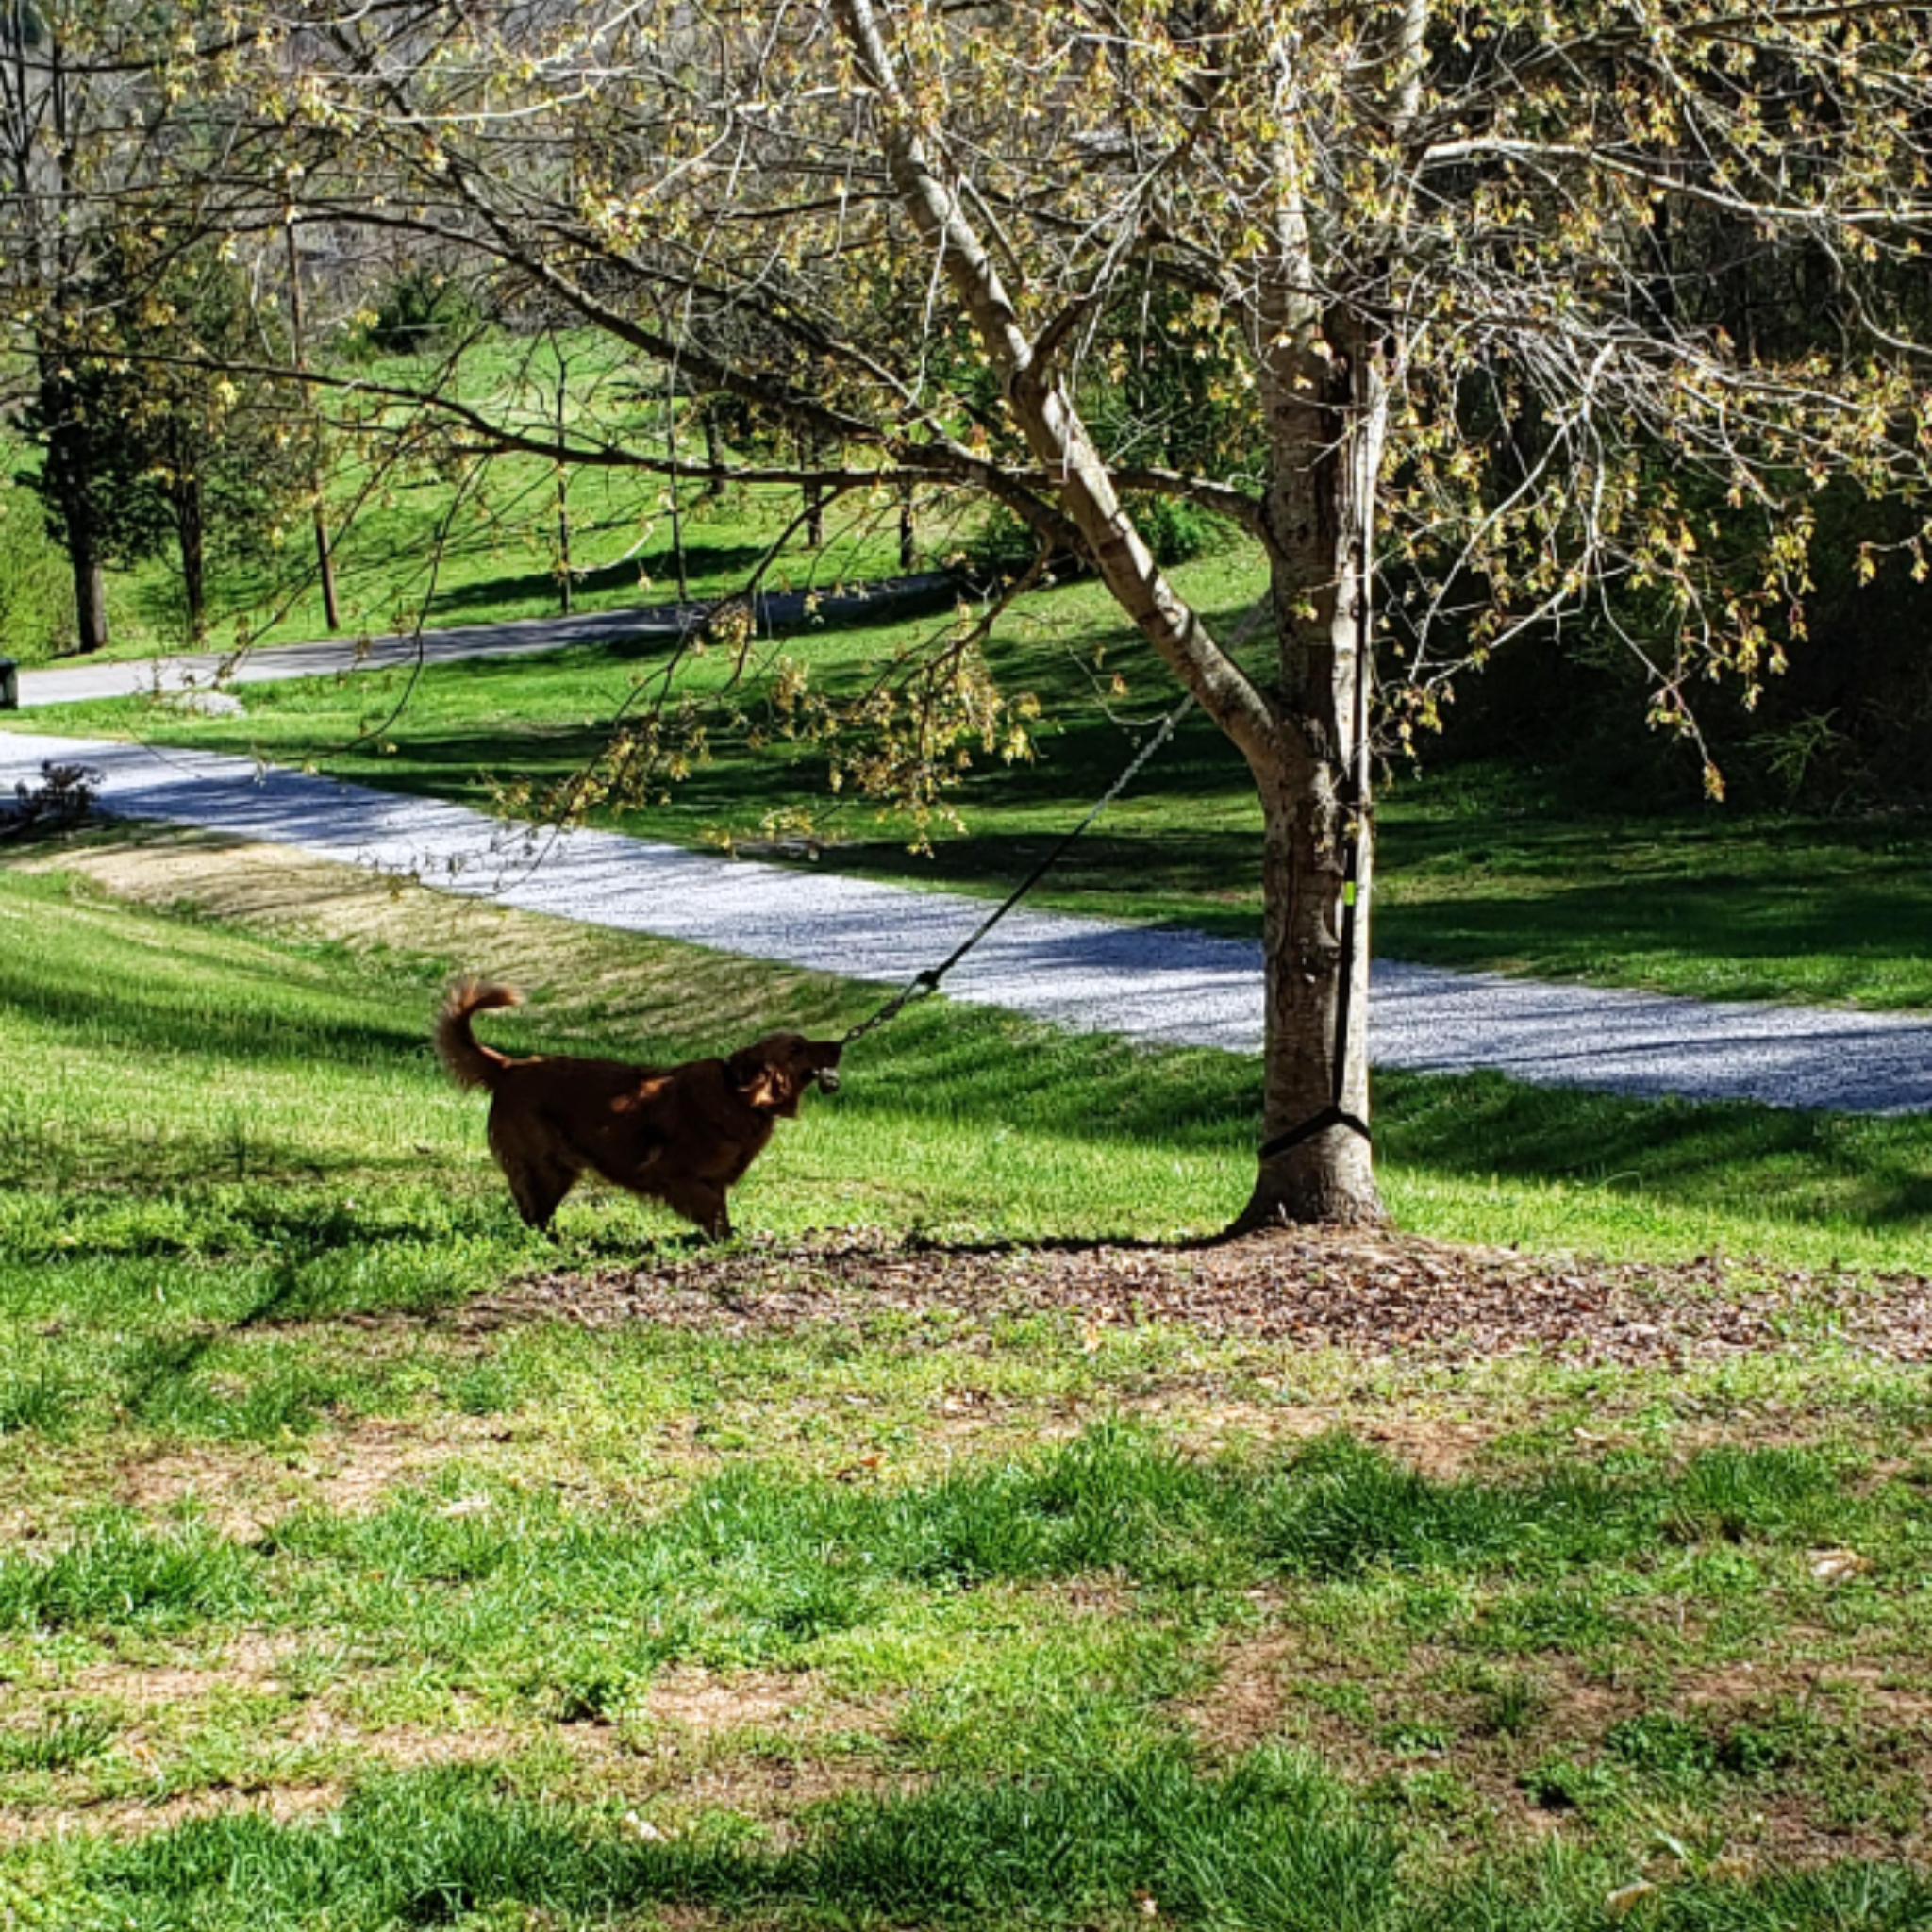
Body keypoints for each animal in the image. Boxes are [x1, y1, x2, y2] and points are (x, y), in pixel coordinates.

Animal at [440, 981, 846, 1236]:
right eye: (797, 1048)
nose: (839, 1045)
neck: (735, 1091)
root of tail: (510, 1066)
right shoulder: (674, 1174)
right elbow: (712, 1212)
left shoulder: (711, 1181)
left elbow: (720, 1211)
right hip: (546, 1165)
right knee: (533, 1212)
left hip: (557, 1170)